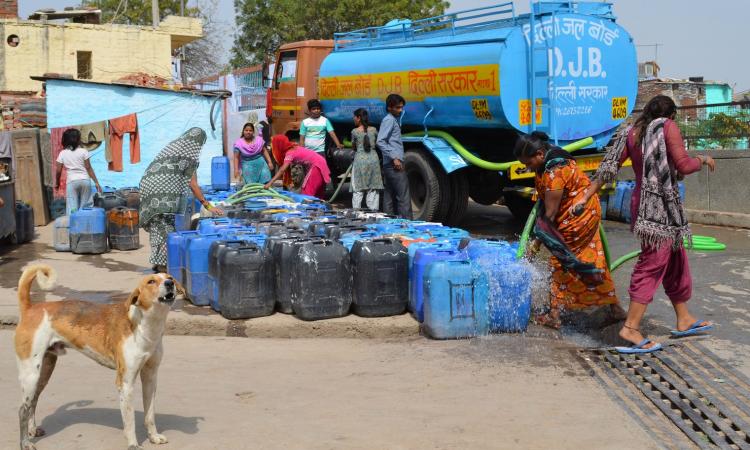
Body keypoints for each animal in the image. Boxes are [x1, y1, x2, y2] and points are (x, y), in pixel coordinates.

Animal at [14, 264, 181, 450]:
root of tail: (30, 308)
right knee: (22, 409)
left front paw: (153, 437)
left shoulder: (150, 377)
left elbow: (149, 414)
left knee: (33, 401)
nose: (169, 283)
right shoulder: (125, 383)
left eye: (170, 277)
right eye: (151, 281)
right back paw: (25, 443)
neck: (145, 326)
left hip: (44, 370)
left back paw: (32, 430)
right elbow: (129, 420)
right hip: (31, 374)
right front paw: (133, 444)